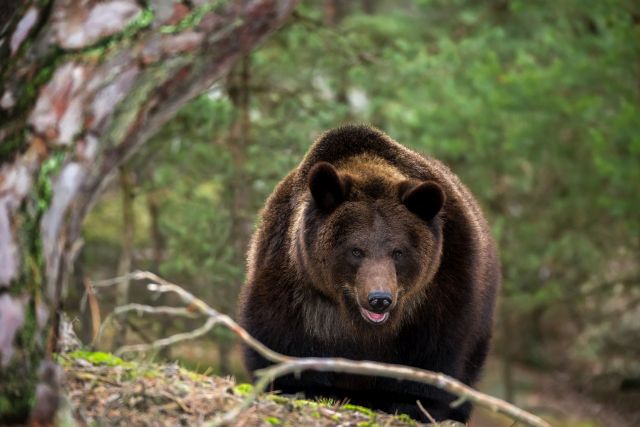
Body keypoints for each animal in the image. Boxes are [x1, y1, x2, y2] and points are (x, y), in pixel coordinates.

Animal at [238, 125, 502, 422]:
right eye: (356, 250)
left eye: (398, 252)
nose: (379, 299)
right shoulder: (293, 285)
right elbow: (280, 343)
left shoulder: (440, 289)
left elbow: (433, 356)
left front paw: (416, 404)